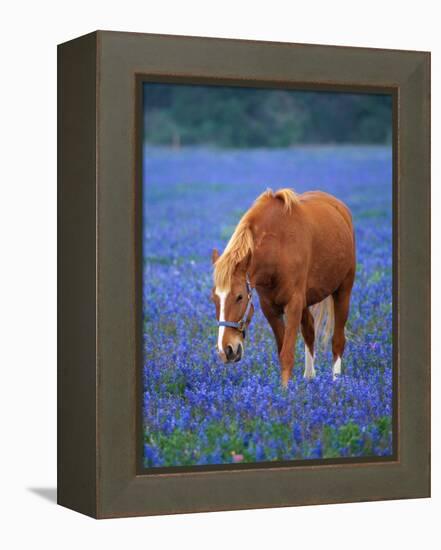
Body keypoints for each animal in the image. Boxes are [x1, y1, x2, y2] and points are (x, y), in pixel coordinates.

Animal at [211, 190, 356, 388]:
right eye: (214, 299)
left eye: (239, 297)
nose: (226, 350)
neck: (278, 248)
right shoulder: (270, 308)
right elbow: (282, 351)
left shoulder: (293, 305)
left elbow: (287, 354)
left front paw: (285, 392)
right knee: (310, 330)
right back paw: (309, 378)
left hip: (343, 291)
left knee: (338, 341)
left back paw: (336, 383)